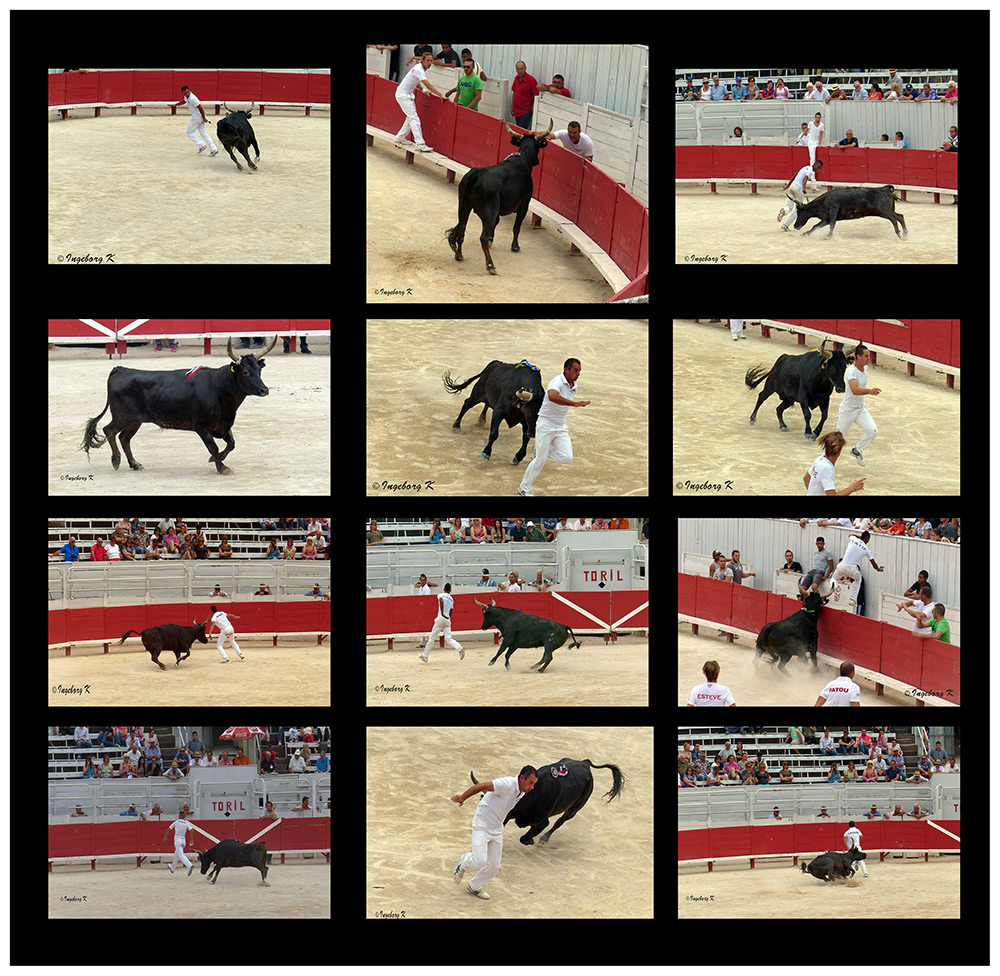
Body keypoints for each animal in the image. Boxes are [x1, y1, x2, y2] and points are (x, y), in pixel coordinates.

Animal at [81, 334, 278, 474]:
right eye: (245, 372)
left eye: (259, 370)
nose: (264, 390)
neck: (220, 388)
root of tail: (120, 370)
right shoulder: (202, 427)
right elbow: (213, 447)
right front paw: (222, 467)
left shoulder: (223, 425)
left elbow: (232, 444)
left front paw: (216, 460)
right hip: (123, 416)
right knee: (110, 431)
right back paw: (116, 460)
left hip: (136, 420)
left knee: (124, 438)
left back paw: (135, 464)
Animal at [452, 117, 556, 272]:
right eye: (538, 147)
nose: (537, 161)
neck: (522, 159)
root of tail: (475, 173)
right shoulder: (524, 205)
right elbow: (516, 226)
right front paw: (515, 246)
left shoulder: (495, 211)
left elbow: (496, 224)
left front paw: (492, 241)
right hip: (488, 210)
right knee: (482, 237)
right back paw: (490, 265)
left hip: (464, 205)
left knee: (462, 227)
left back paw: (459, 255)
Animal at [470, 760, 624, 844]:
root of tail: (585, 763)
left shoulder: (542, 822)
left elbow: (524, 837)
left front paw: (531, 840)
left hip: (574, 809)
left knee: (559, 822)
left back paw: (544, 838)